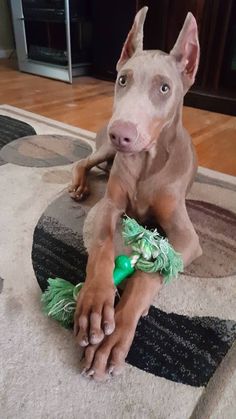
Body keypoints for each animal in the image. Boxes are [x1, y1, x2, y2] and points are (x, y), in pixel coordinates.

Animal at [69, 6, 202, 382]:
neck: (146, 162)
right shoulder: (111, 204)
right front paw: (96, 301)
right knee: (84, 161)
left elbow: (150, 273)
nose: (122, 134)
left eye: (164, 88)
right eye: (122, 80)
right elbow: (102, 244)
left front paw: (116, 335)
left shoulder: (187, 238)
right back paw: (80, 185)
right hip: (104, 152)